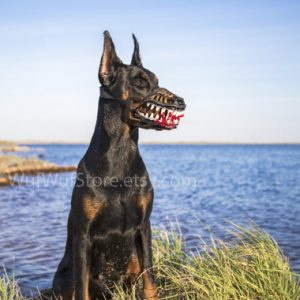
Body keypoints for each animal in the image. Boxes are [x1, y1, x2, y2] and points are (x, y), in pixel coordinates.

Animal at [52, 31, 186, 298]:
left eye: (156, 81)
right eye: (140, 82)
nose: (181, 102)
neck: (120, 152)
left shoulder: (144, 226)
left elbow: (150, 276)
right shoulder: (83, 234)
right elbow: (82, 289)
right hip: (64, 276)